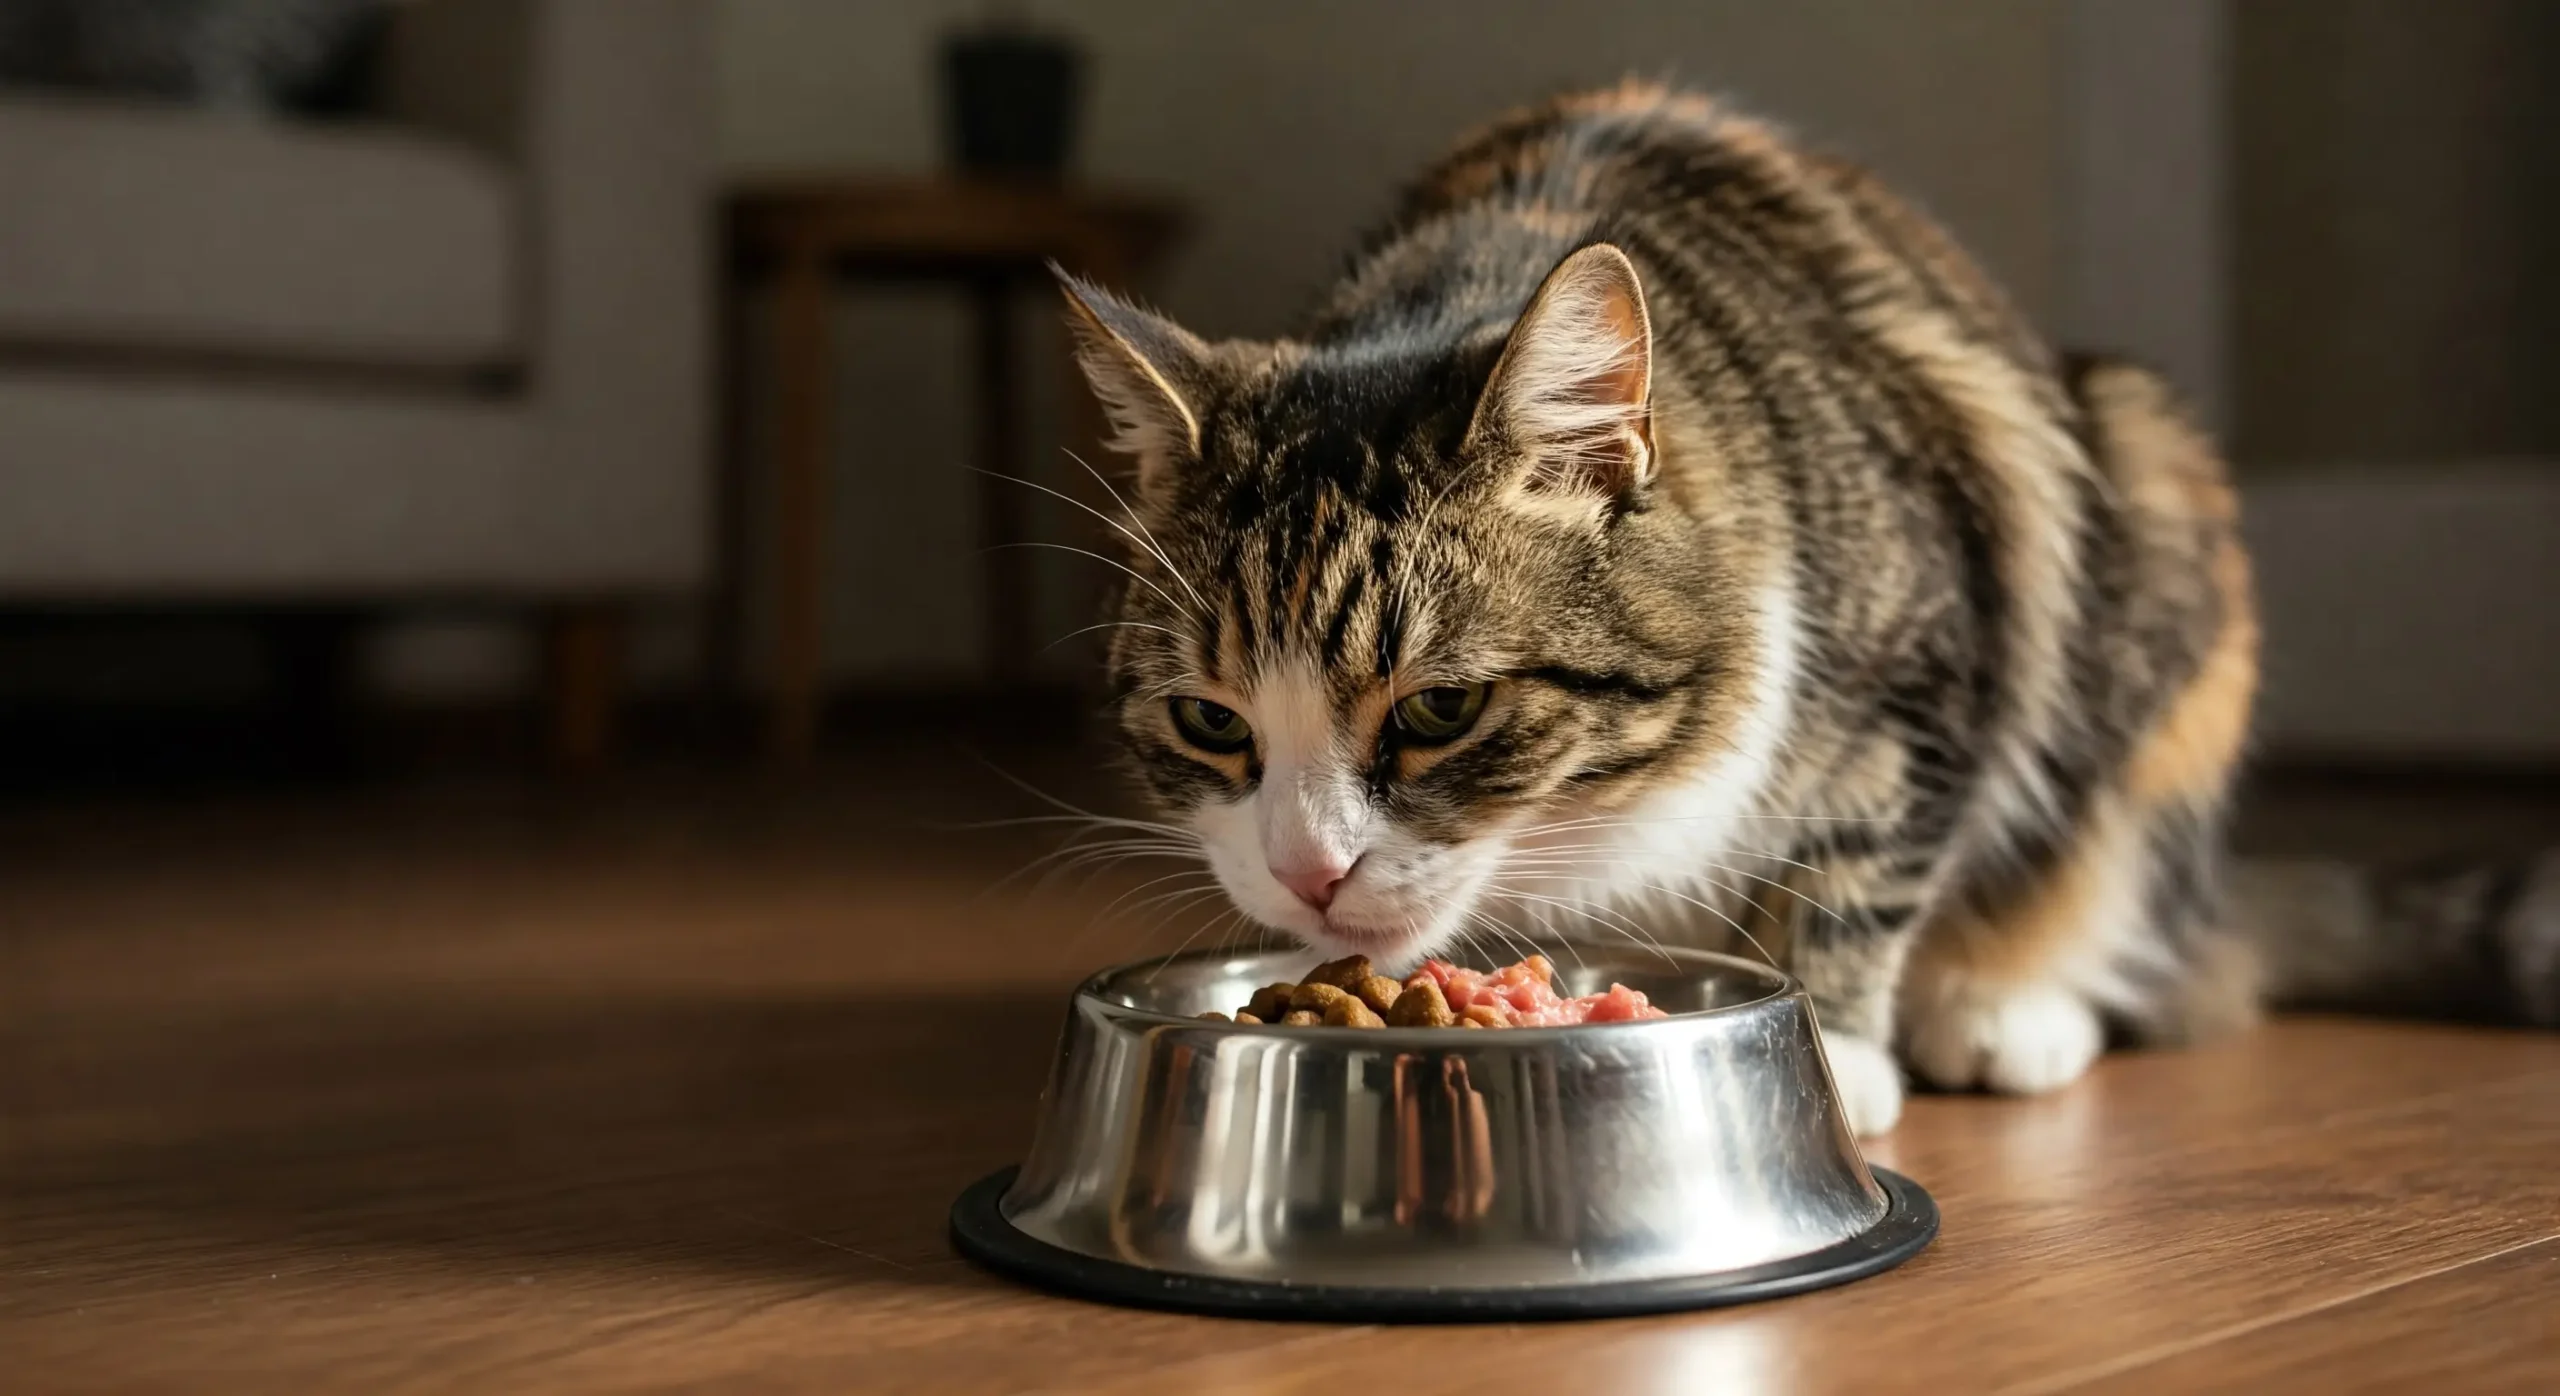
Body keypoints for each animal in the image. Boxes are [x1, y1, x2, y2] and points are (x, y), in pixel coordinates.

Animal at [1054, 81, 2560, 1132]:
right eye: (1211, 723)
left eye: (1442, 709)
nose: (1308, 874)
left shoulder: (1926, 670)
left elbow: (1855, 864)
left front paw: (1838, 1051)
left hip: (2152, 489)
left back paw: (2007, 1005)